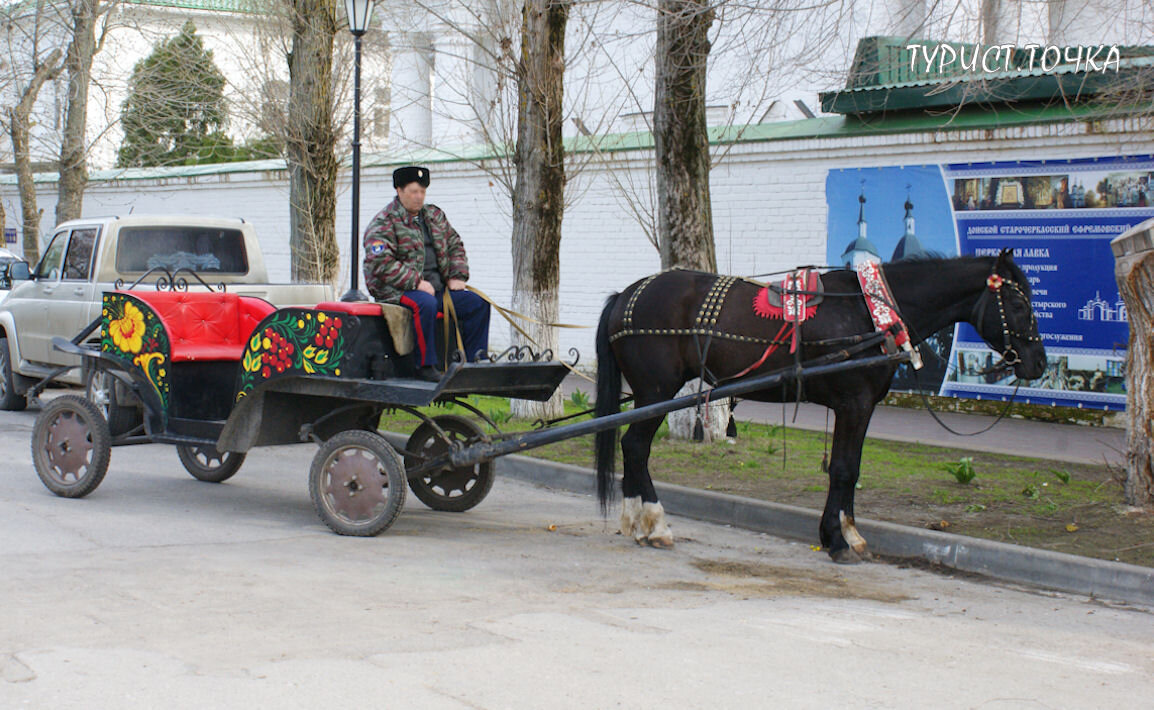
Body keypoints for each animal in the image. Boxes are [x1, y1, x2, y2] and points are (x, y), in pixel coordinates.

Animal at [595, 252, 1047, 563]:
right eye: (1019, 305)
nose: (1038, 364)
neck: (868, 312)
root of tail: (627, 295)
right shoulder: (854, 403)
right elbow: (844, 470)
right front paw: (838, 539)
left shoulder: (860, 407)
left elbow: (850, 470)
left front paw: (846, 535)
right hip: (656, 391)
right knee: (635, 447)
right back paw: (654, 523)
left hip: (648, 395)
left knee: (633, 449)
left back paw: (635, 521)